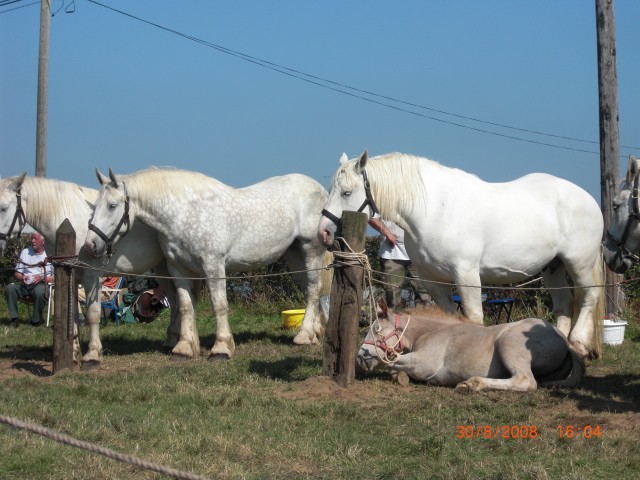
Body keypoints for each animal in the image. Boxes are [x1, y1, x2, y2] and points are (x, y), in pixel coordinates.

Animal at [0, 174, 185, 370]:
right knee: (176, 301)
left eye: (3, 208)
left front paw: (93, 356)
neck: (67, 216)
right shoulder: (71, 276)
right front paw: (74, 356)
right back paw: (172, 342)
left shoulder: (92, 277)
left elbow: (93, 314)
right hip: (162, 268)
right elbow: (73, 316)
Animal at [85, 168, 332, 360]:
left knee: (313, 290)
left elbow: (218, 305)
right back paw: (315, 333)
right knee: (311, 290)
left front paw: (221, 348)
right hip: (294, 255)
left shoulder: (213, 265)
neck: (184, 213)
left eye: (112, 205)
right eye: (95, 206)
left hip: (311, 250)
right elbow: (185, 306)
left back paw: (303, 336)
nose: (91, 244)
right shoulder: (178, 269)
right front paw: (184, 348)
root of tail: (320, 189)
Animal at [320, 152, 604, 358]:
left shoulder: (466, 274)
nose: (324, 232)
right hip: (553, 267)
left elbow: (474, 316)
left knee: (589, 296)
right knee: (564, 304)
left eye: (346, 192)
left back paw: (578, 344)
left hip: (579, 263)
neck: (434, 209)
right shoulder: (433, 281)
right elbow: (449, 316)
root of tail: (588, 198)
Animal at [356, 302, 584, 392]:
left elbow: (391, 362)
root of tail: (562, 337)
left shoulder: (423, 364)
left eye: (376, 329)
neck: (430, 331)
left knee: (525, 381)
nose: (359, 359)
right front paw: (400, 377)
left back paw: (472, 384)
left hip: (509, 344)